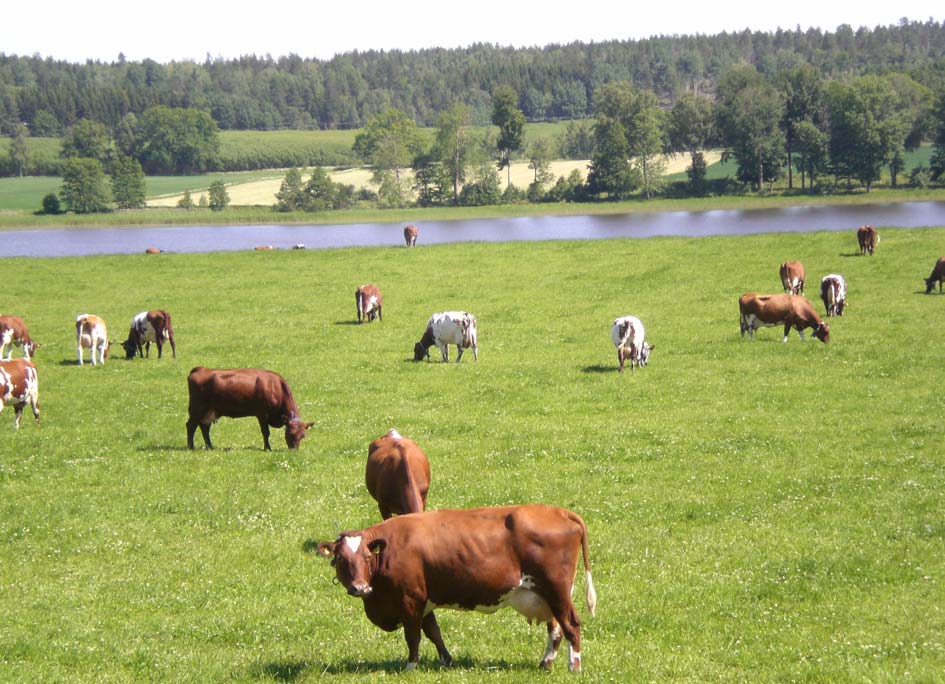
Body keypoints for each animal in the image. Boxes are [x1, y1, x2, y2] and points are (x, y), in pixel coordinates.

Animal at [184, 366, 314, 452]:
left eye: (302, 435)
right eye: (290, 433)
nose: (294, 451)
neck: (276, 387)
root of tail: (200, 369)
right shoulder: (262, 414)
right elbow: (266, 432)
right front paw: (267, 448)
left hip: (210, 410)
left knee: (204, 427)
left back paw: (210, 447)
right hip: (198, 408)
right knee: (191, 425)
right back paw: (191, 447)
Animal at [318, 502, 596, 672]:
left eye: (366, 557)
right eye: (341, 560)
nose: (359, 587)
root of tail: (559, 511)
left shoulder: (410, 600)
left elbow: (413, 636)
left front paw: (410, 667)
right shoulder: (424, 601)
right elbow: (434, 632)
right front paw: (447, 661)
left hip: (556, 590)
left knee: (571, 625)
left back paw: (574, 666)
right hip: (550, 595)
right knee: (556, 629)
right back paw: (545, 662)